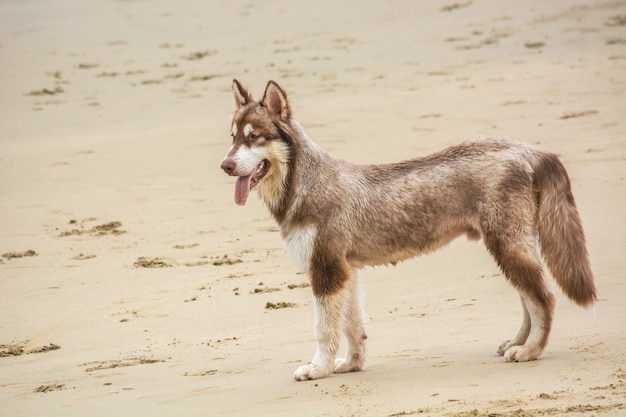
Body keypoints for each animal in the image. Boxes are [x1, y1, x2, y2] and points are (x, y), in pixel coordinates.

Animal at [219, 79, 596, 380]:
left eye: (255, 138)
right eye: (233, 138)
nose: (225, 165)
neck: (305, 182)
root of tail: (528, 150)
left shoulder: (326, 271)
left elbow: (324, 329)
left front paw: (318, 368)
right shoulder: (346, 271)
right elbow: (352, 327)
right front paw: (352, 364)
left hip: (507, 246)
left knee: (543, 298)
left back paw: (531, 350)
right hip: (510, 247)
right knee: (528, 298)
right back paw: (519, 342)